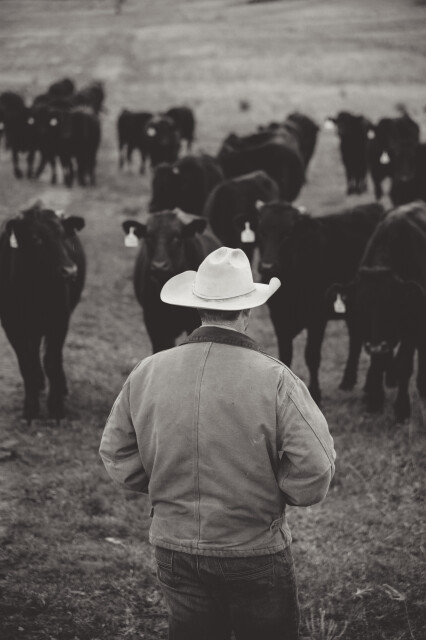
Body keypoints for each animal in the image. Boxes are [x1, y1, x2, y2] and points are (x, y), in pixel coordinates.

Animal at [0, 202, 86, 420]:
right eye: (36, 238)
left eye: (64, 236)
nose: (70, 271)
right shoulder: (12, 325)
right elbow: (26, 361)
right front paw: (30, 408)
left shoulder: (59, 320)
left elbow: (52, 361)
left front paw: (56, 408)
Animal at [256, 201, 385, 402]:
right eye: (261, 231)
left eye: (288, 234)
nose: (267, 266)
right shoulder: (279, 319)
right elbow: (285, 355)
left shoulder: (317, 319)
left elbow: (312, 355)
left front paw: (315, 393)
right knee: (355, 338)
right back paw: (348, 381)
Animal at [332, 201, 426, 421]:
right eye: (361, 308)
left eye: (392, 307)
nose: (376, 346)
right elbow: (377, 362)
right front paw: (374, 401)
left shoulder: (412, 325)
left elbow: (405, 365)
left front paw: (401, 409)